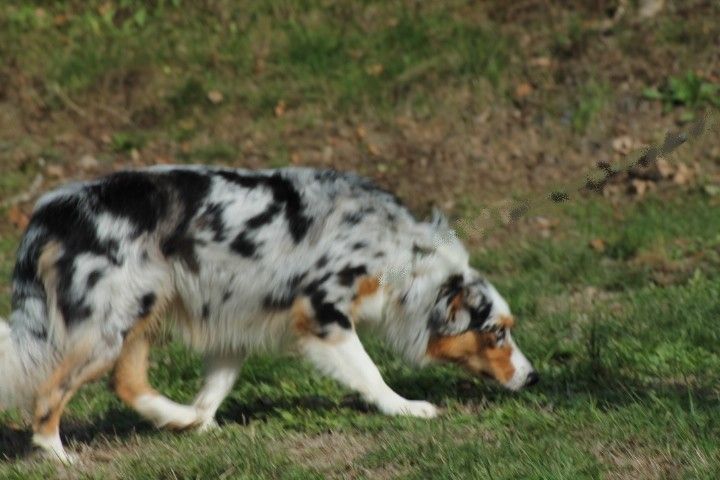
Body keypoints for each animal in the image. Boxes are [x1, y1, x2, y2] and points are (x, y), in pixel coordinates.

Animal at [0, 167, 536, 464]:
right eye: (495, 333)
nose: (533, 377)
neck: (401, 252)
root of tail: (51, 212)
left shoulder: (237, 321)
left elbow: (215, 387)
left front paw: (200, 420)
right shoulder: (322, 314)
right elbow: (371, 374)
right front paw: (405, 408)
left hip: (142, 308)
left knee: (127, 383)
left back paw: (180, 419)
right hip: (110, 322)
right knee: (50, 394)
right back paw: (58, 454)